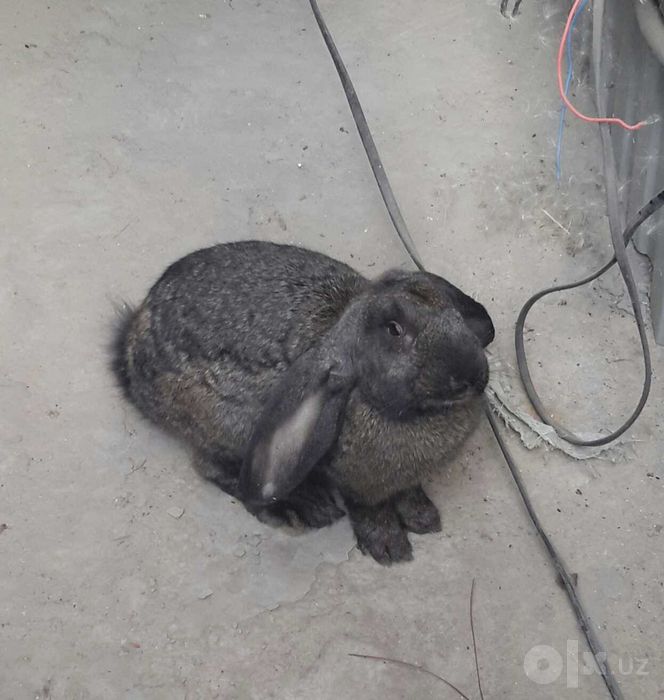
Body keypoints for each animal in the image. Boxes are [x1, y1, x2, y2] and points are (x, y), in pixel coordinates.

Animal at [112, 240, 494, 564]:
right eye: (394, 330)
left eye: (451, 311)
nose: (473, 376)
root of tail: (132, 354)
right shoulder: (357, 484)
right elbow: (369, 509)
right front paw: (389, 549)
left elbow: (407, 491)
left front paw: (425, 518)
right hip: (226, 428)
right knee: (214, 469)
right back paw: (305, 508)